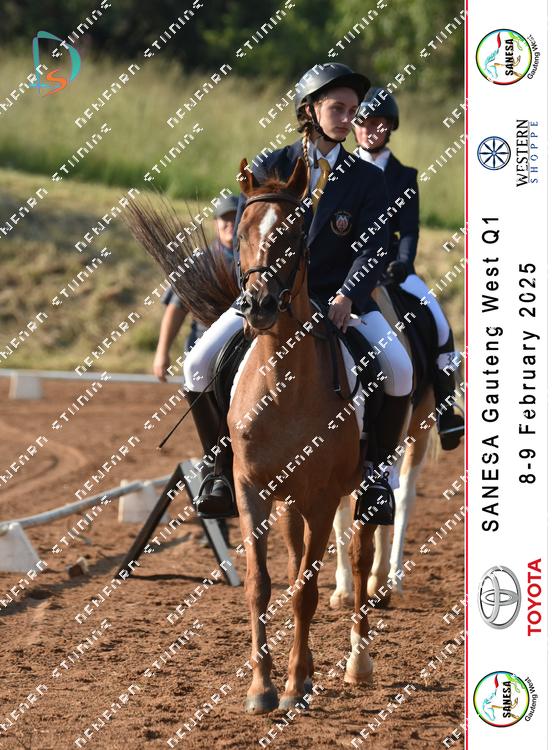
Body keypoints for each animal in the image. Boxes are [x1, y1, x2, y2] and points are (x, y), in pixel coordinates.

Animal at [127, 158, 402, 714]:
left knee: (359, 561)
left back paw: (356, 664)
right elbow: (261, 583)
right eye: (244, 235)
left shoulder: (322, 497)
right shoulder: (251, 487)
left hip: (355, 493)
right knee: (298, 559)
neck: (284, 380)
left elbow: (306, 590)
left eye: (296, 233)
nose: (258, 307)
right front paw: (262, 687)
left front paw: (294, 686)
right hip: (288, 499)